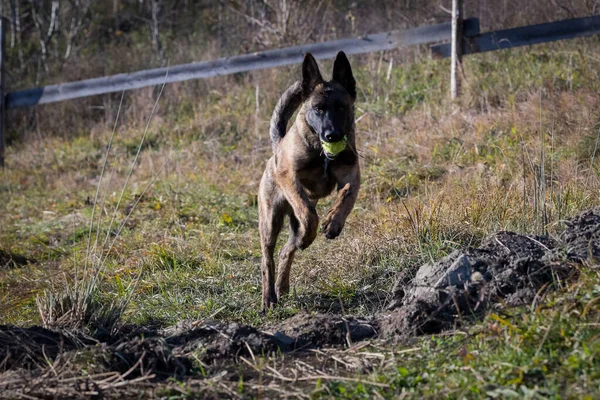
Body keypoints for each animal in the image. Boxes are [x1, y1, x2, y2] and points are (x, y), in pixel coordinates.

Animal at [258, 51, 360, 310]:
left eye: (342, 107)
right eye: (318, 109)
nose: (332, 135)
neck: (321, 152)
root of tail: (277, 146)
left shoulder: (352, 175)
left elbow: (346, 195)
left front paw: (334, 222)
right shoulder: (290, 178)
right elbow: (307, 213)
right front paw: (314, 229)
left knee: (287, 250)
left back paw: (282, 287)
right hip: (270, 221)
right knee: (268, 259)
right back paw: (268, 297)